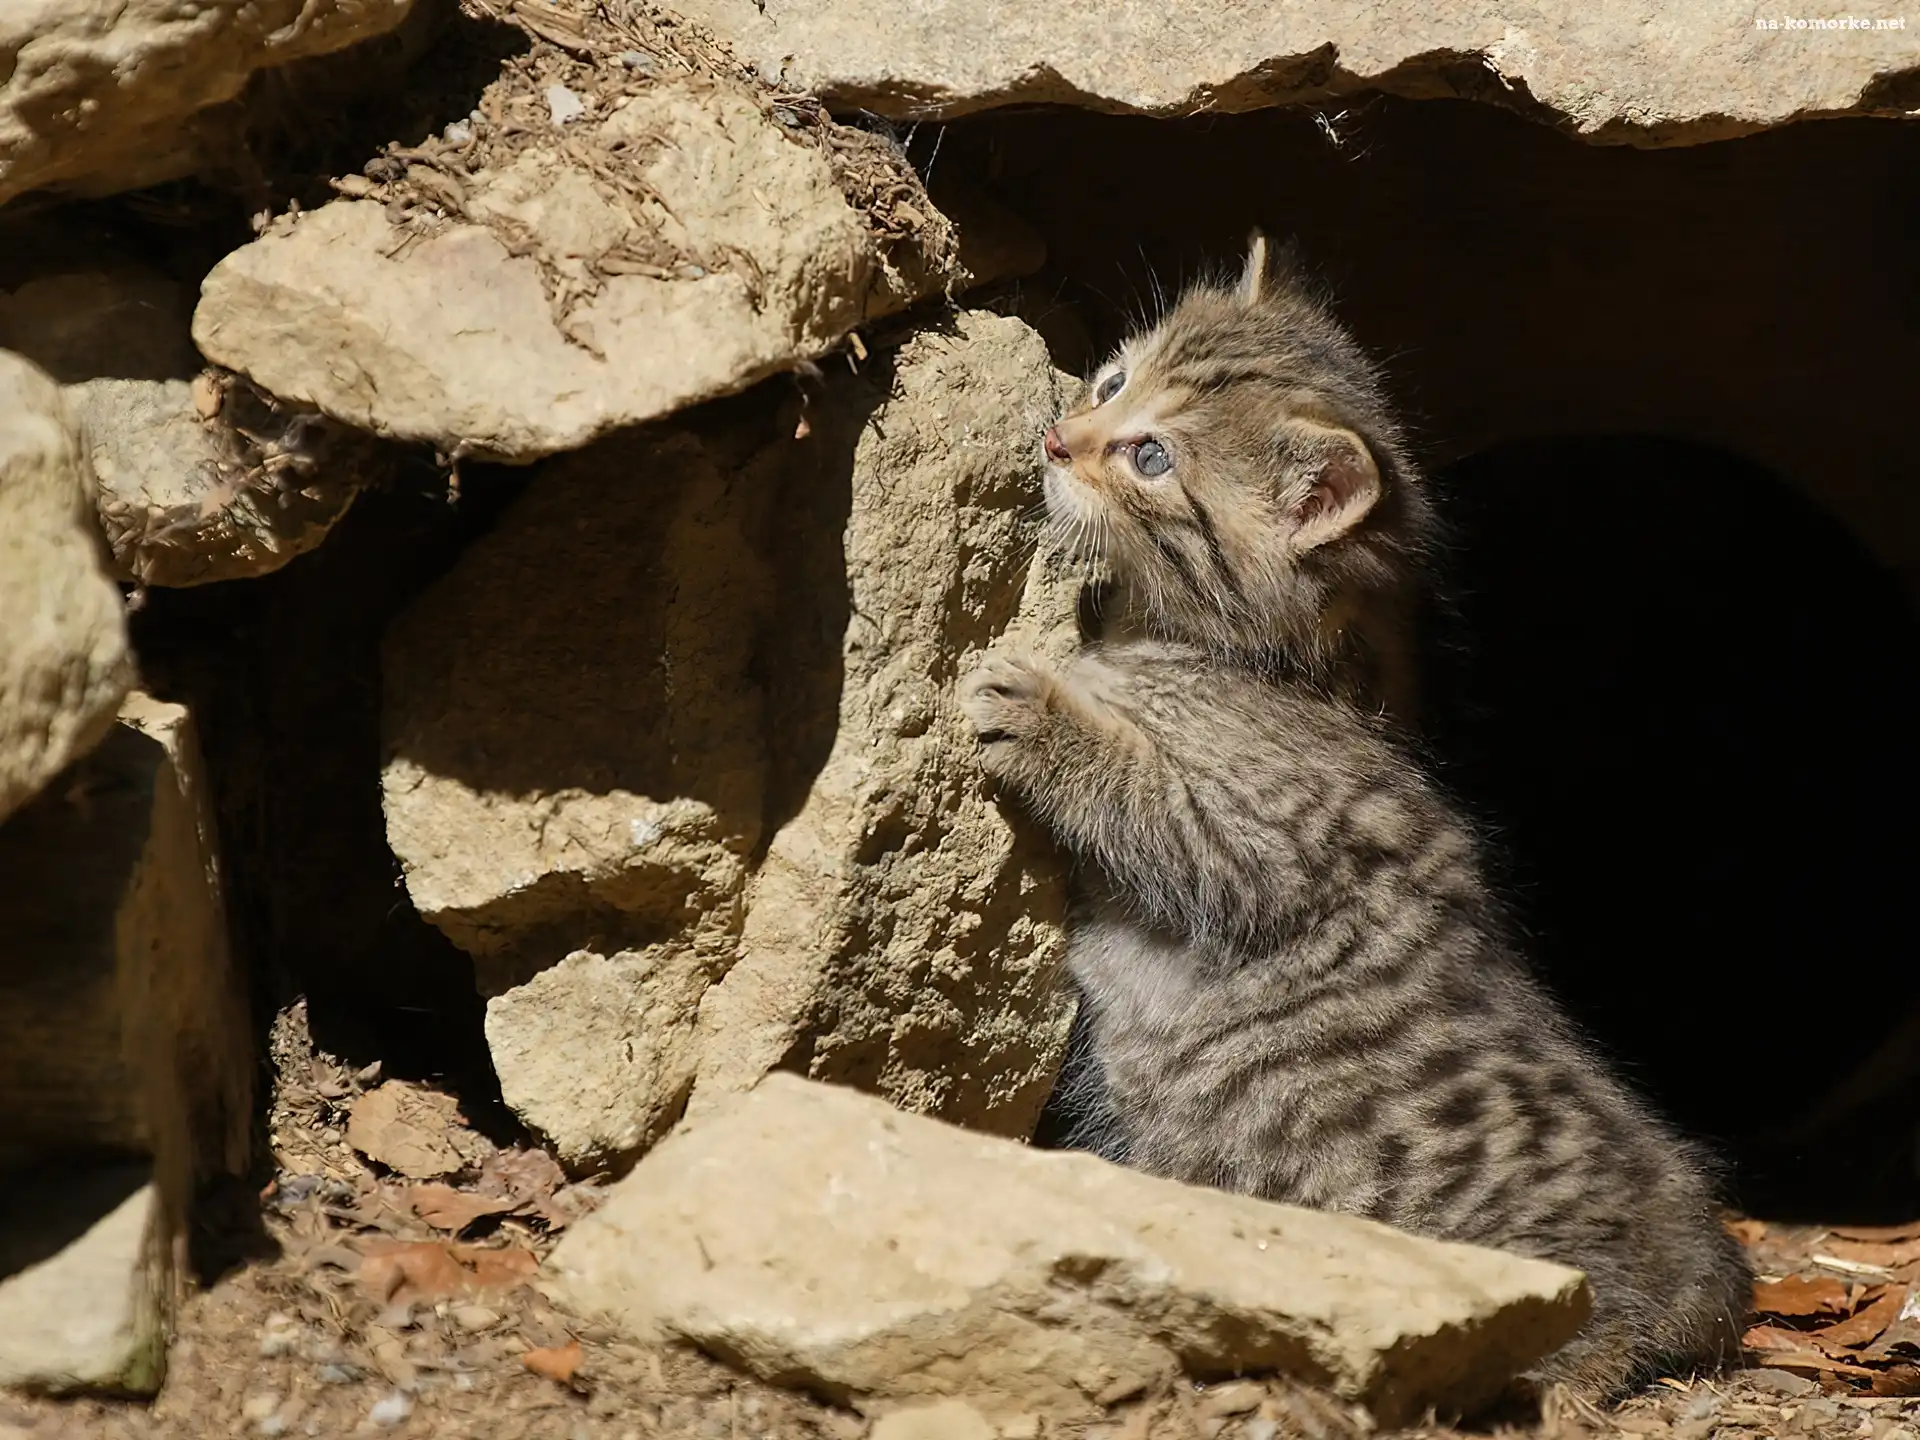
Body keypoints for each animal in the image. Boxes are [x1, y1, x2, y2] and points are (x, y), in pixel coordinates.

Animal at [963, 237, 1749, 1398]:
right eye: (1110, 383)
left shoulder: (1258, 842)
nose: (1062, 437)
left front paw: (1042, 718)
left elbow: (1143, 795)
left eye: (1151, 456)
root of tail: (1707, 1275)